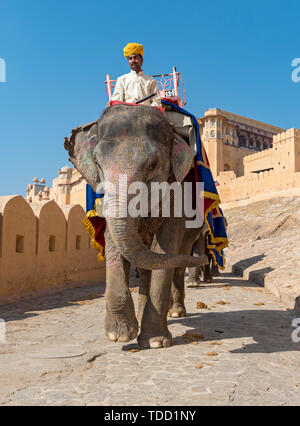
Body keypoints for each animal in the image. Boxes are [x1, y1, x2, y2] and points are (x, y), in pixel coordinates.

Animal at [64, 104, 207, 350]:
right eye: (97, 163)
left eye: (153, 165)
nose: (207, 259)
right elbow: (115, 244)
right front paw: (119, 334)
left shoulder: (180, 187)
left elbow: (166, 245)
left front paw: (156, 341)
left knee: (175, 262)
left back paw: (176, 312)